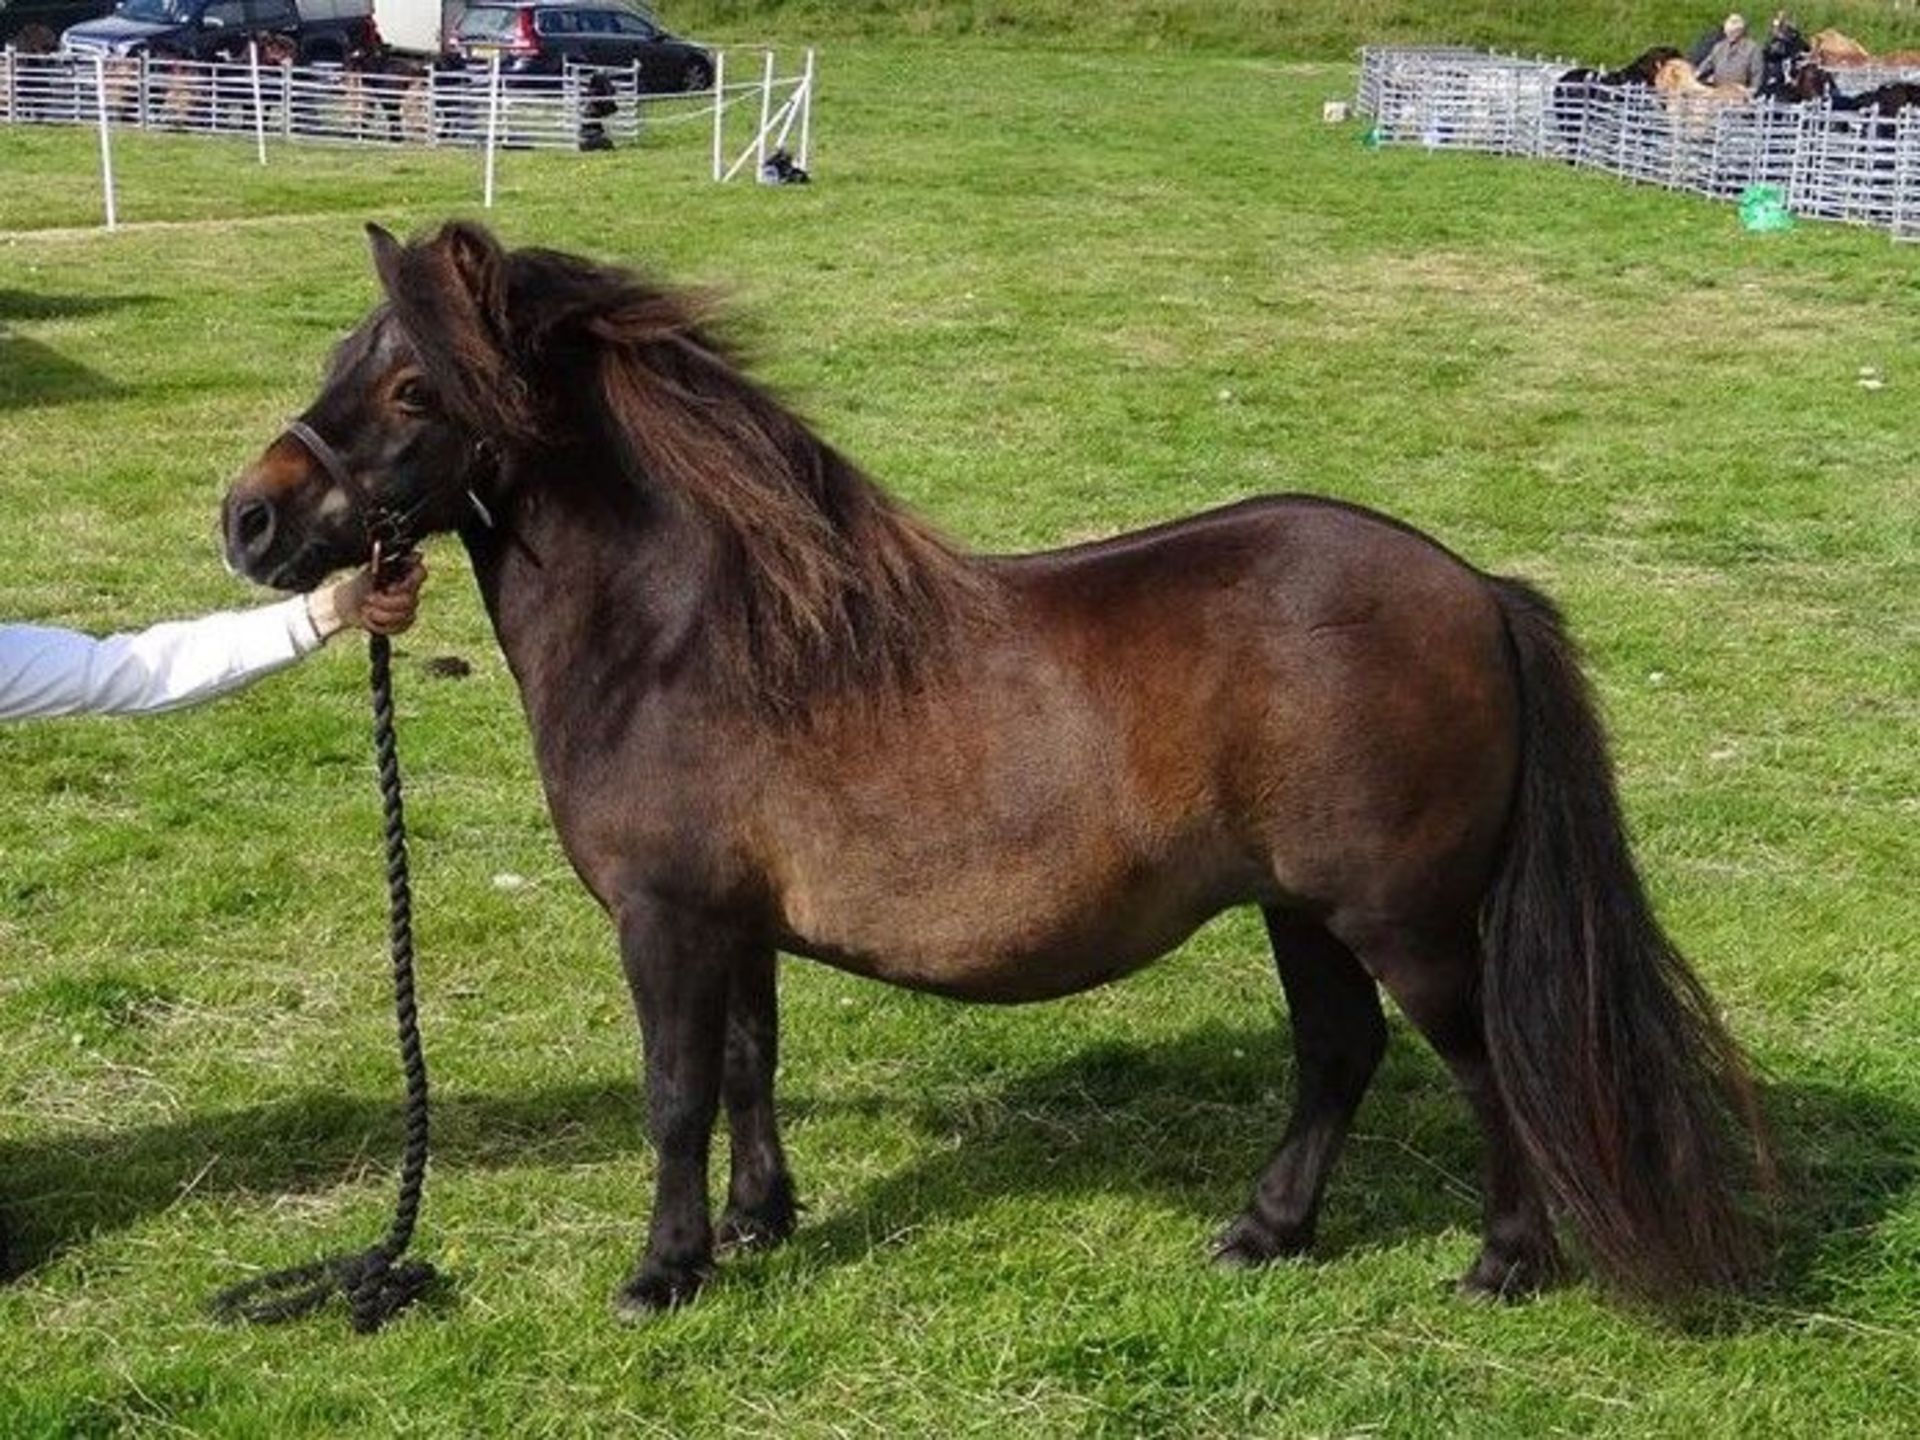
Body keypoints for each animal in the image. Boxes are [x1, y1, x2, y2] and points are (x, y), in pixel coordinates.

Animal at [220, 222, 1766, 1320]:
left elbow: (672, 1092)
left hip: (1404, 920)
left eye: (411, 386)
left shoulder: (668, 920)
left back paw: (1505, 1262)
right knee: (1339, 1057)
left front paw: (666, 1271)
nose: (249, 521)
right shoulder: (734, 926)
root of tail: (1477, 593)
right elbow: (747, 1066)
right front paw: (758, 1222)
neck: (688, 634)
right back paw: (1264, 1234)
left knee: (1482, 1060)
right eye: (339, 355)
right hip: (1304, 912)